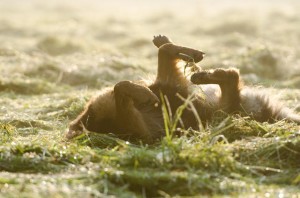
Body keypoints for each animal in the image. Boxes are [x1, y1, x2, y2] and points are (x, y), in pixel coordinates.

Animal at [68, 35, 300, 142]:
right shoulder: (140, 128)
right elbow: (120, 89)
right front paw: (143, 96)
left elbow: (121, 87)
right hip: (223, 109)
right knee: (232, 78)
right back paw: (204, 73)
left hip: (171, 86)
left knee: (165, 51)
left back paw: (190, 59)